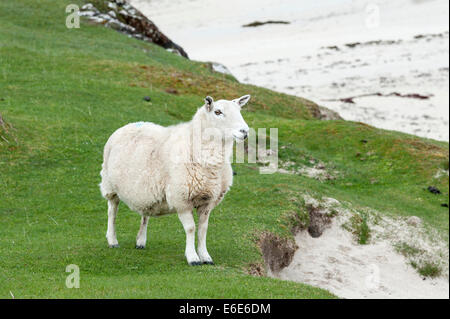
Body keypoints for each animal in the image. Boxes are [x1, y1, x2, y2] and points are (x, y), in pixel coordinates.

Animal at [100, 94, 251, 264]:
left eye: (239, 110)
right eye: (218, 112)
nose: (245, 131)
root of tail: (131, 124)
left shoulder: (208, 200)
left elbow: (203, 229)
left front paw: (205, 256)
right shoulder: (181, 199)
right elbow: (191, 228)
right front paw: (193, 257)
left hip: (147, 189)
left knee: (145, 214)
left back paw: (140, 241)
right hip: (109, 184)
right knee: (112, 211)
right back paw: (112, 240)